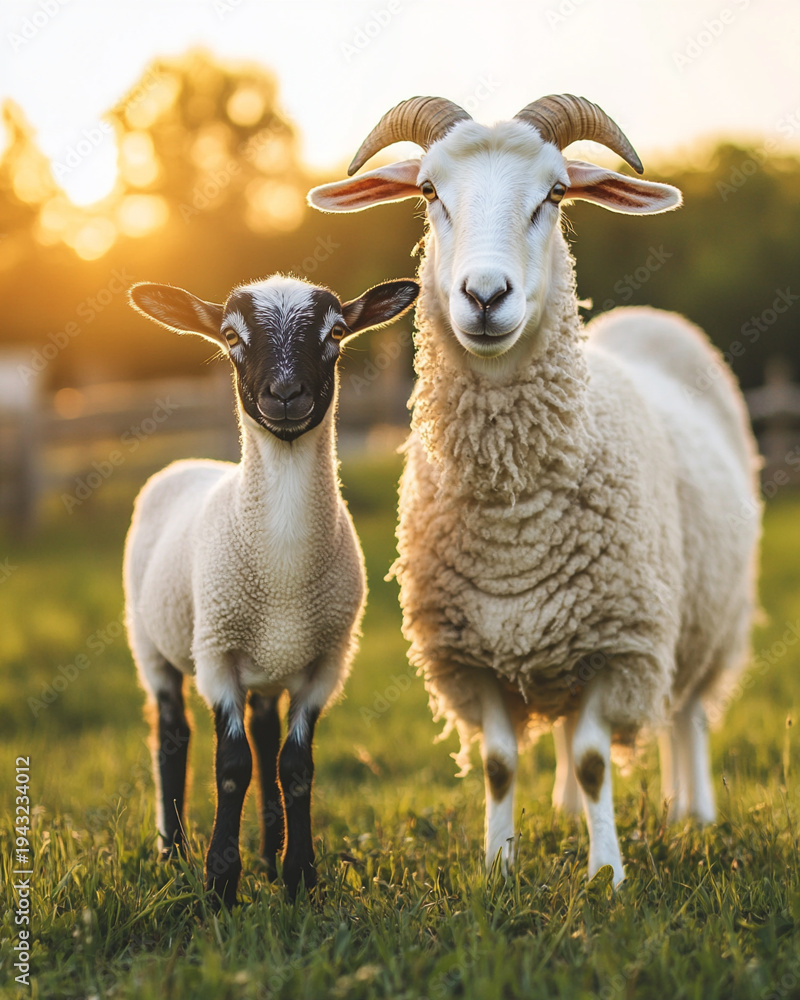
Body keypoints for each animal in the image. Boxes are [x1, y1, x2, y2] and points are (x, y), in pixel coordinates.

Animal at [124, 273, 419, 905]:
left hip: (268, 663)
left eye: (336, 332)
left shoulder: (327, 662)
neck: (282, 573)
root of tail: (190, 462)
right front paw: (219, 884)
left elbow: (294, 765)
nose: (285, 394)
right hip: (152, 645)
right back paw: (173, 851)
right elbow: (230, 765)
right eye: (232, 336)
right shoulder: (217, 656)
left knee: (264, 735)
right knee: (173, 736)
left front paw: (298, 876)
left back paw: (266, 849)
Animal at [308, 95, 762, 884]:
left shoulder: (620, 643)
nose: (486, 295)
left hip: (708, 619)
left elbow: (594, 758)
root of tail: (646, 321)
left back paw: (692, 810)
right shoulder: (471, 656)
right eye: (429, 190)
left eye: (554, 194)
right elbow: (499, 763)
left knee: (688, 716)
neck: (513, 521)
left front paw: (606, 874)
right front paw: (498, 868)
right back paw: (570, 814)